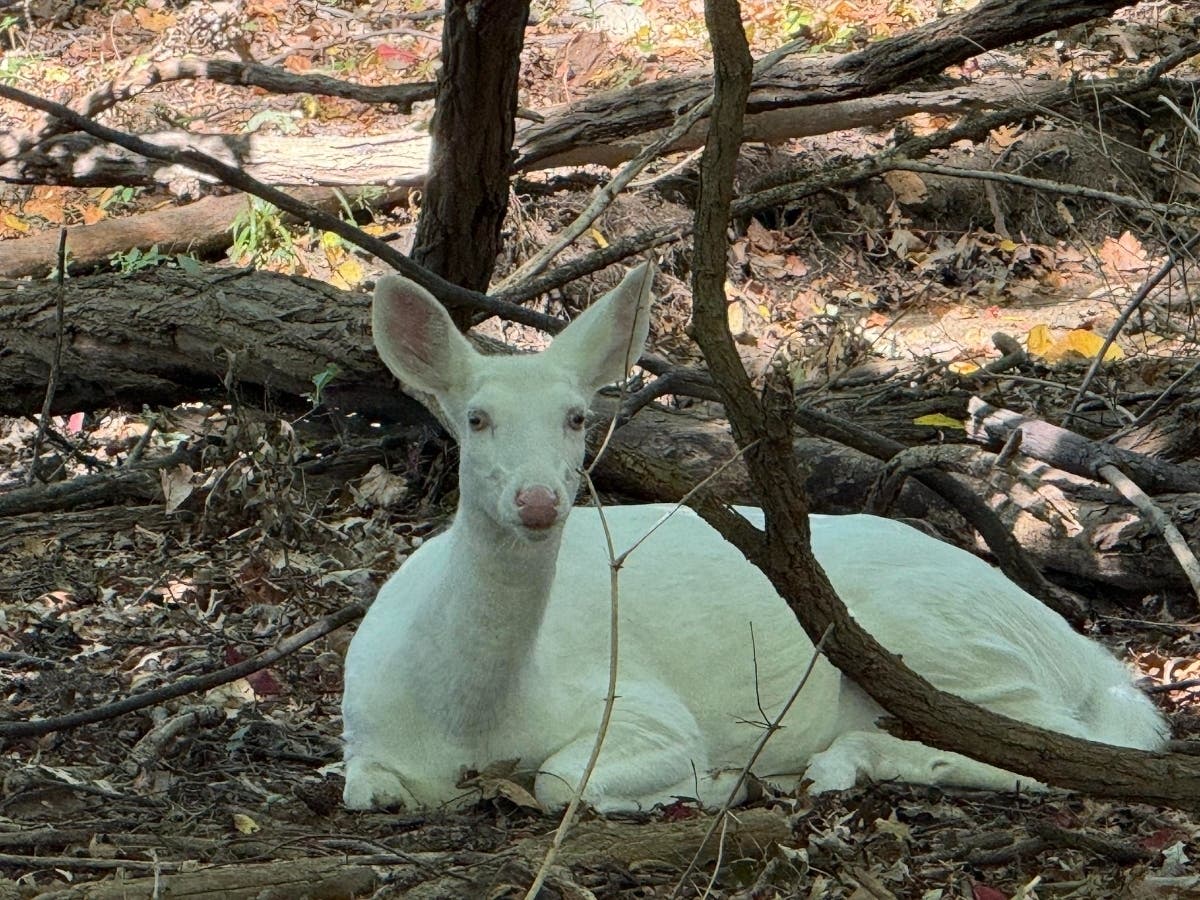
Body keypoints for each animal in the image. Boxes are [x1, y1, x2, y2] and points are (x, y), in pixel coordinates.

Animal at [341, 262, 1169, 813]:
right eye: (475, 418)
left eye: (577, 417)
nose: (540, 500)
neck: (471, 723)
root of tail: (1083, 655)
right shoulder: (358, 734)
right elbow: (364, 790)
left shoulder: (641, 706)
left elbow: (559, 780)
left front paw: (711, 781)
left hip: (937, 636)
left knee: (1060, 744)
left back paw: (833, 764)